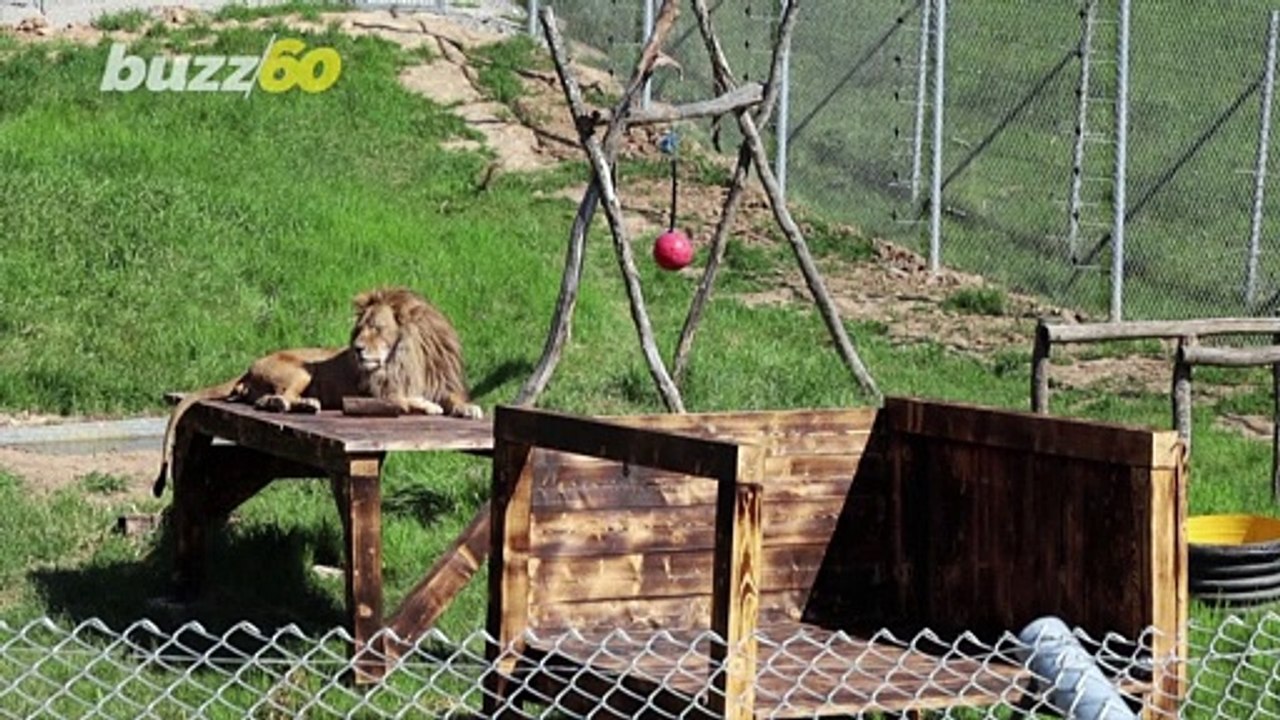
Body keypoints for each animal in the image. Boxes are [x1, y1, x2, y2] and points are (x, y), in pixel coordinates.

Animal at [152, 287, 482, 496]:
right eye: (359, 330)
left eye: (376, 328)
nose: (357, 349)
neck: (407, 359)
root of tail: (247, 368)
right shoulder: (375, 396)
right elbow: (405, 399)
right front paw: (428, 406)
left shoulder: (439, 383)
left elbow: (453, 399)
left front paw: (469, 408)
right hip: (301, 370)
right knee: (274, 399)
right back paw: (301, 404)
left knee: (268, 399)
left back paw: (308, 405)